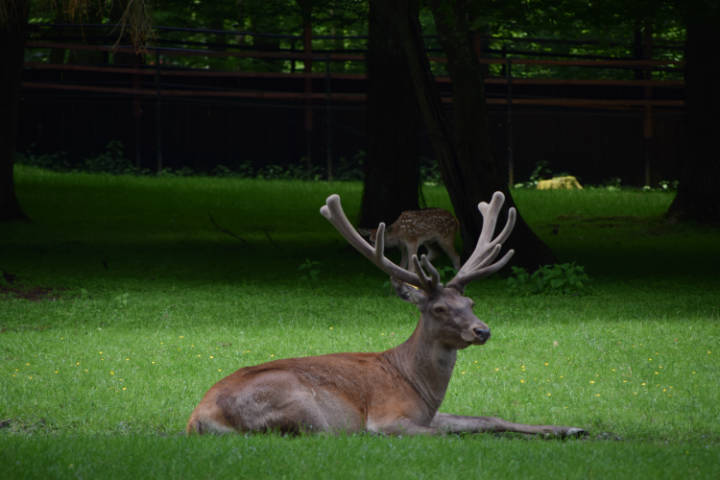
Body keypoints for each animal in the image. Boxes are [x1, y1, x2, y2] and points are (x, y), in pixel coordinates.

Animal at [186, 191, 584, 438]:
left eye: (471, 303)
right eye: (439, 308)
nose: (482, 331)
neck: (420, 386)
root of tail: (196, 418)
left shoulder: (431, 412)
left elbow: (488, 418)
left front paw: (571, 428)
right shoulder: (389, 417)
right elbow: (442, 434)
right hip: (306, 407)